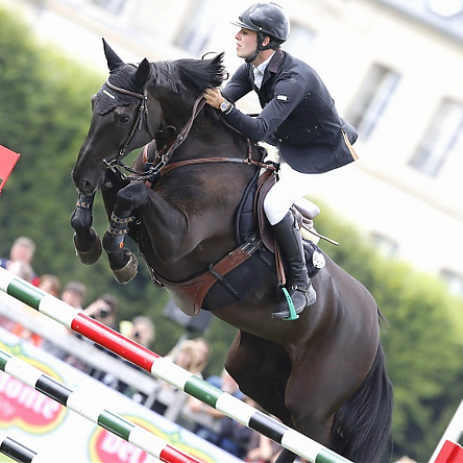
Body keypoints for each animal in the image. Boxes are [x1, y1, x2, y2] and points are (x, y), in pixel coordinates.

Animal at [70, 40, 394, 463]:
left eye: (124, 116)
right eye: (95, 102)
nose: (80, 176)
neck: (194, 154)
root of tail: (373, 326)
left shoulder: (179, 244)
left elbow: (132, 193)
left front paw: (120, 258)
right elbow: (115, 185)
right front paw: (89, 242)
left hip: (314, 401)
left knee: (315, 442)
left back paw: (300, 296)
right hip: (255, 371)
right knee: (290, 428)